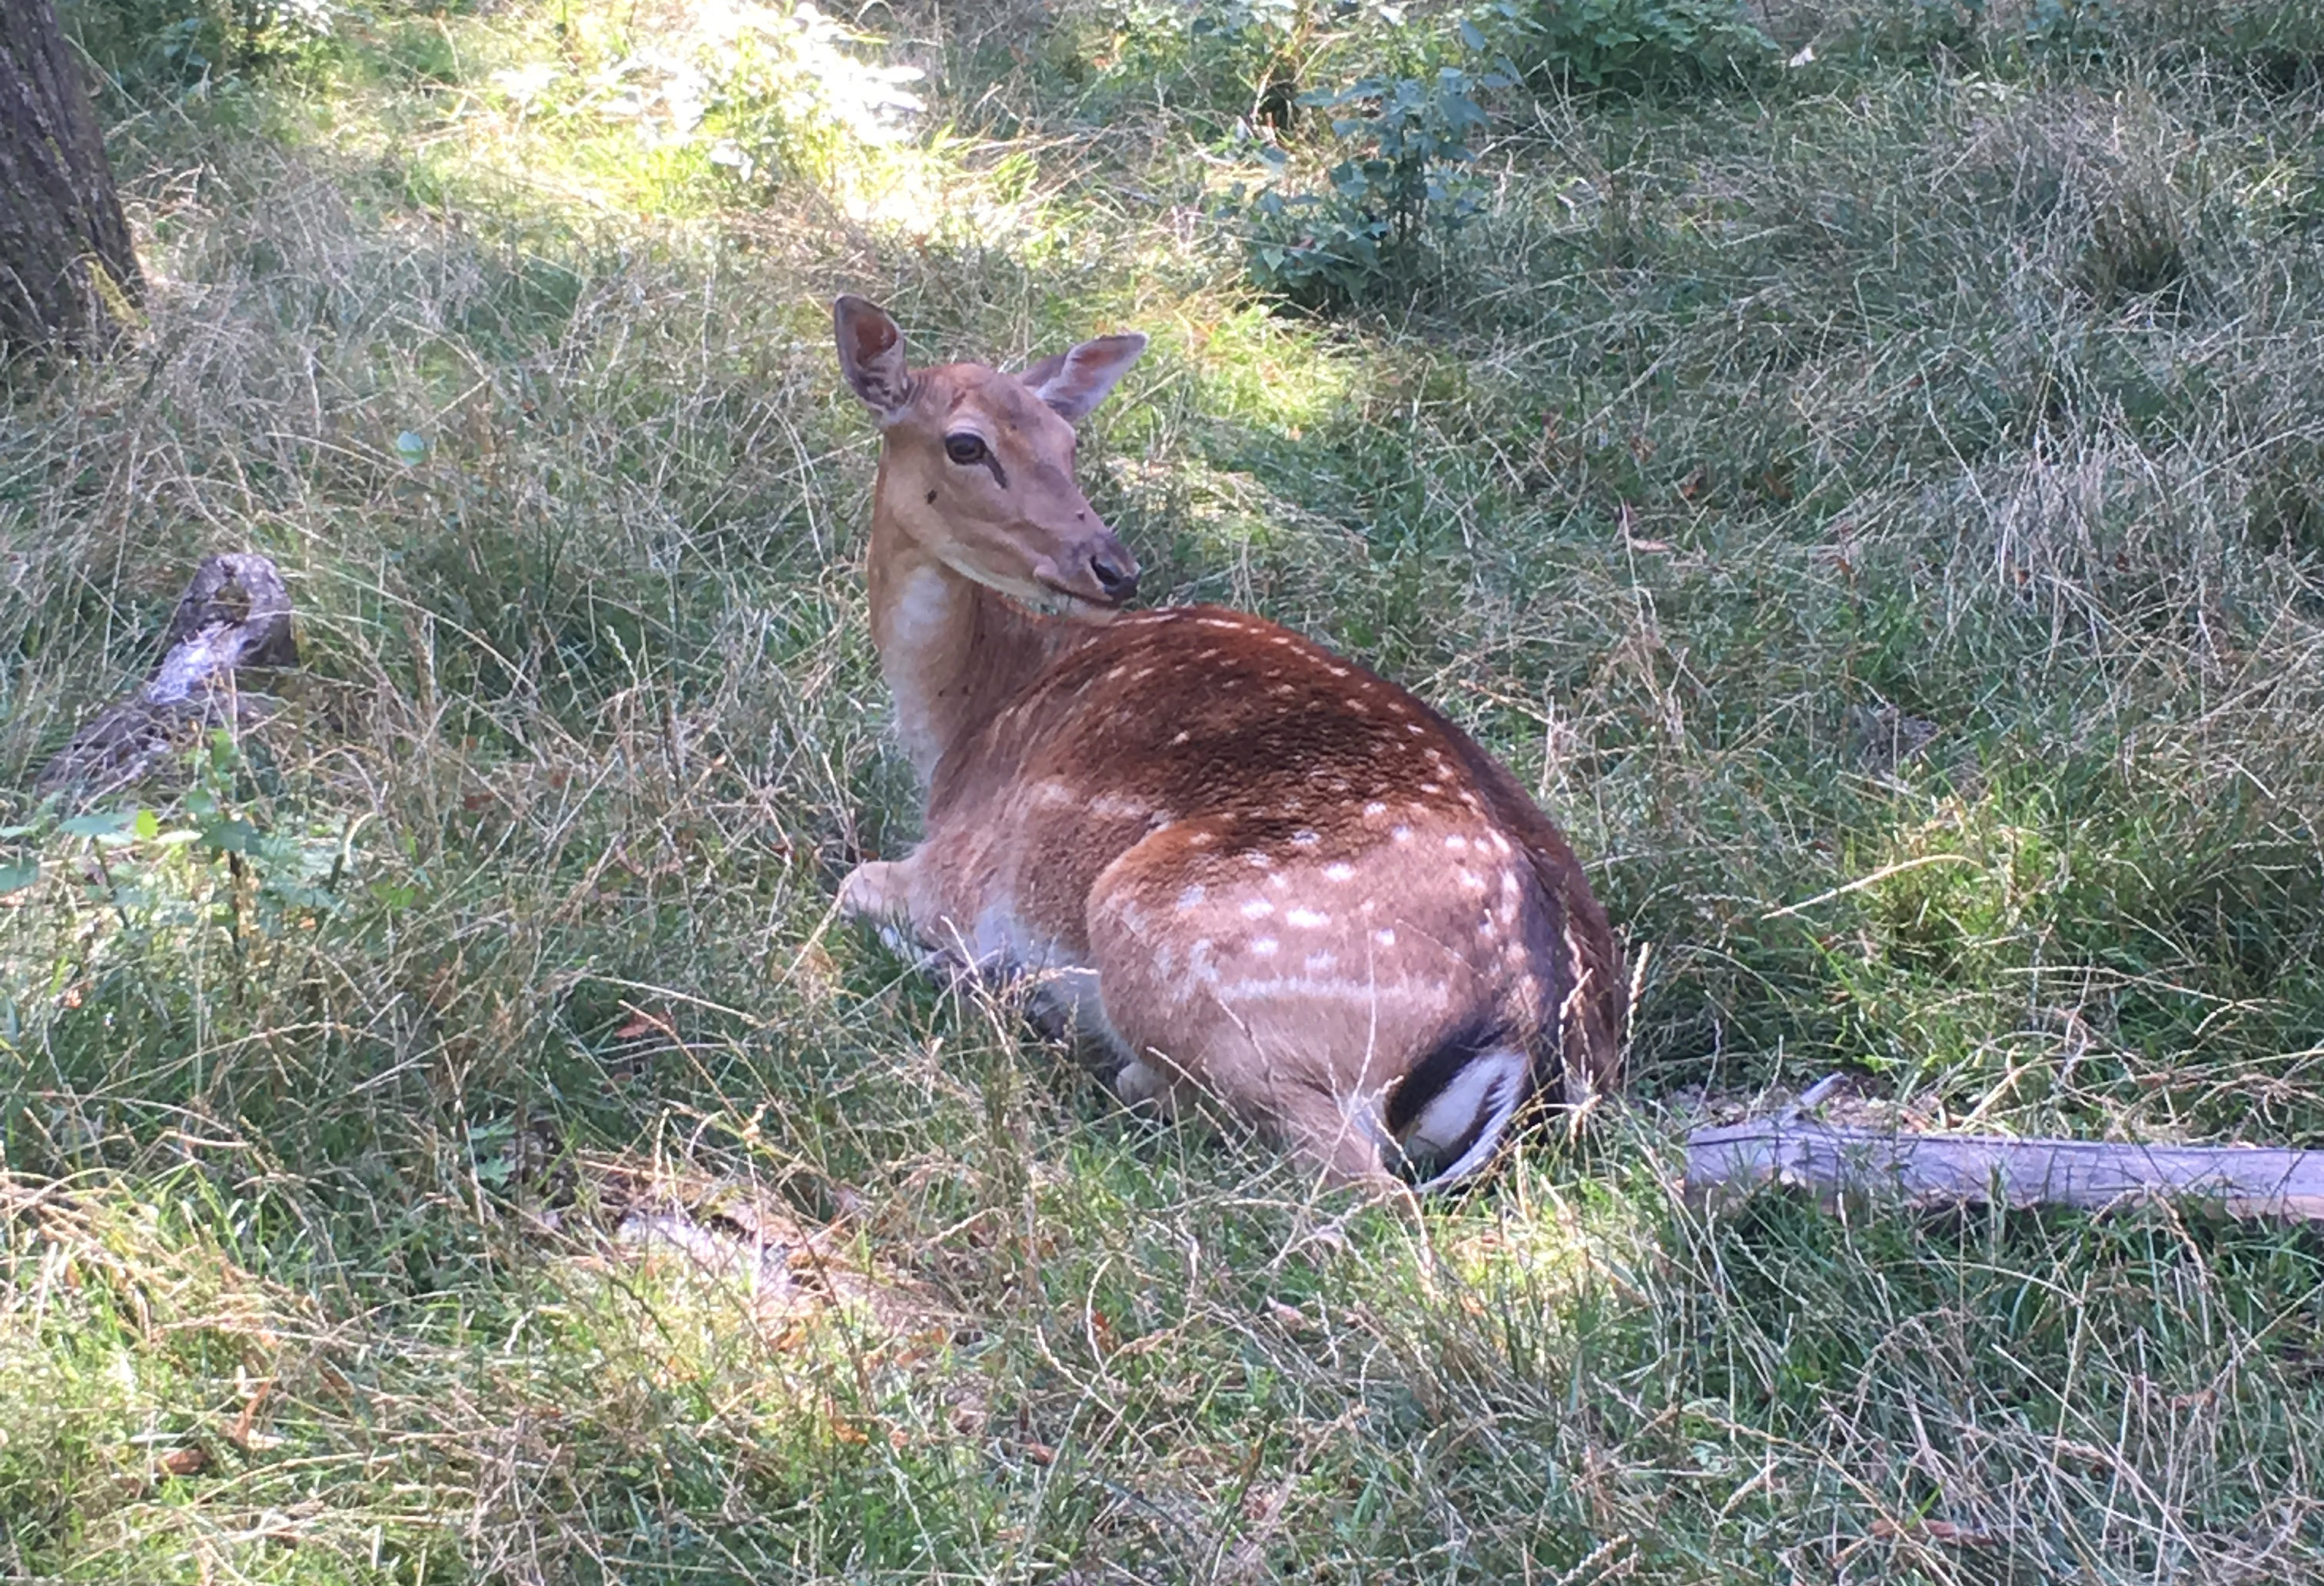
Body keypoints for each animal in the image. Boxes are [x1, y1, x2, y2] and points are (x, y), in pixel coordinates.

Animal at [841, 294, 1635, 1189]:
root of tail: (1535, 1043)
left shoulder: (962, 880)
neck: (964, 725)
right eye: (967, 444)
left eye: (1068, 444)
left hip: (1187, 946)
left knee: (1352, 1177)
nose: (1113, 567)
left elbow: (854, 887)